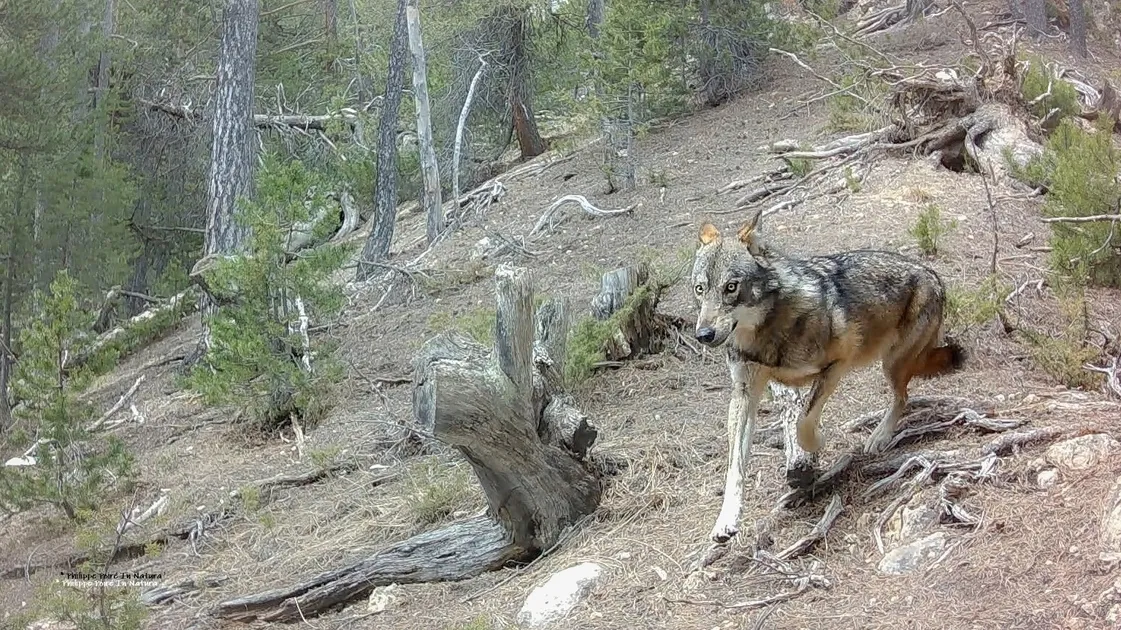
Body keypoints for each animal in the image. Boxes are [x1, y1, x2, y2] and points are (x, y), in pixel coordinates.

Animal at [691, 209, 966, 543]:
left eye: (731, 287)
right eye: (700, 289)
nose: (703, 334)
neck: (765, 334)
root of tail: (932, 273)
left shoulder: (838, 363)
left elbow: (803, 421)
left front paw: (813, 448)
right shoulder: (744, 394)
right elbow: (735, 466)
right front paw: (726, 521)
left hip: (892, 364)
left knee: (903, 397)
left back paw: (879, 437)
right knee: (904, 396)